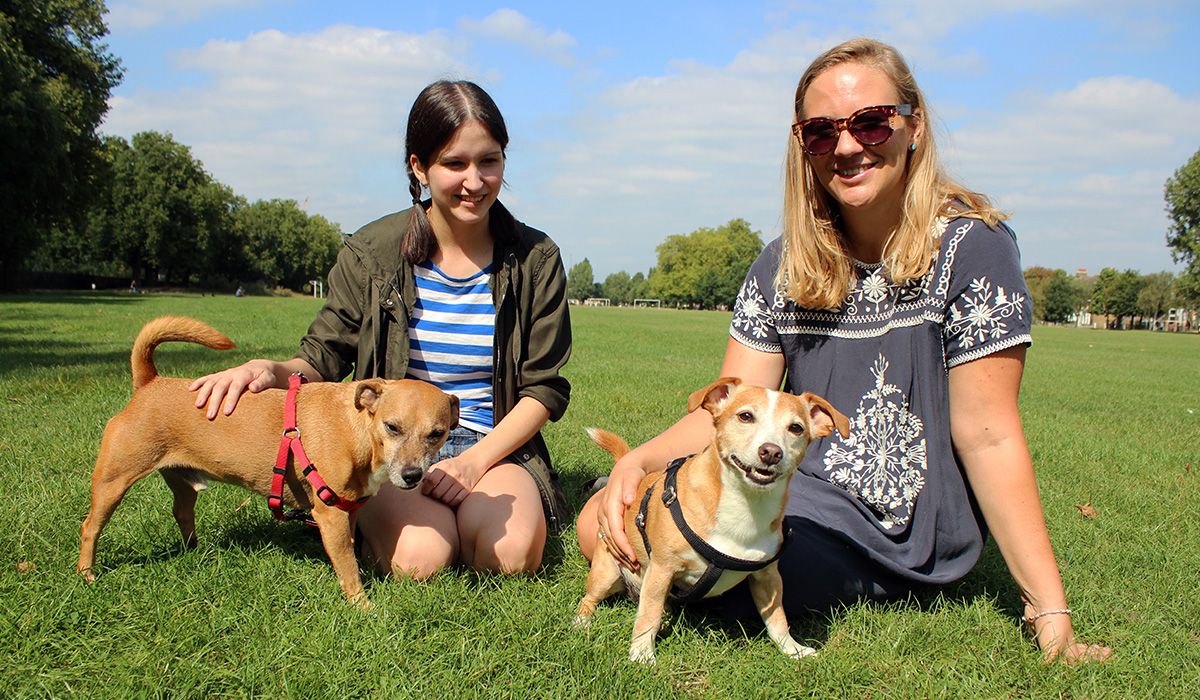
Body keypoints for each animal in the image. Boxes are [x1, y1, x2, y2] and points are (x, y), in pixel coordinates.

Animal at [76, 316, 458, 607]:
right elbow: (348, 566)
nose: (412, 475)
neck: (358, 430)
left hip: (182, 482)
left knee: (182, 513)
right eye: (392, 427)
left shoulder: (347, 513)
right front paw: (363, 606)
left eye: (437, 434)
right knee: (90, 527)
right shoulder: (330, 515)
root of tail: (149, 383)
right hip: (112, 482)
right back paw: (86, 573)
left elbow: (349, 553)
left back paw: (193, 551)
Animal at [576, 377, 849, 662]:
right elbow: (647, 615)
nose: (772, 452)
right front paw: (642, 654)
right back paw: (582, 622)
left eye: (796, 428)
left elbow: (777, 618)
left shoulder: (768, 577)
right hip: (606, 573)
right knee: (591, 599)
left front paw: (792, 649)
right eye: (745, 416)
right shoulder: (662, 569)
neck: (746, 506)